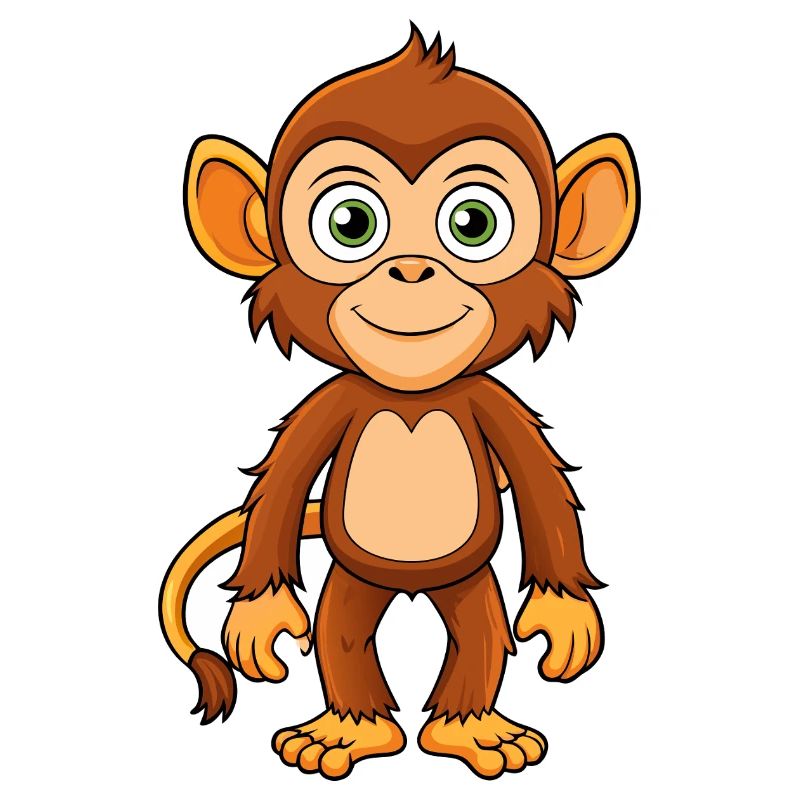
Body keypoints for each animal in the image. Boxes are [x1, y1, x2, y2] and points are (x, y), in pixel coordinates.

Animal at [159, 26, 639, 780]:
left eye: (473, 223)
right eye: (350, 223)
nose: (411, 270)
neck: (412, 395)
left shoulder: (494, 403)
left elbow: (541, 489)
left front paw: (564, 617)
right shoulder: (328, 405)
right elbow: (280, 490)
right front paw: (261, 618)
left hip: (469, 581)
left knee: (479, 636)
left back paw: (473, 731)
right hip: (352, 578)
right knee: (341, 634)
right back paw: (345, 732)